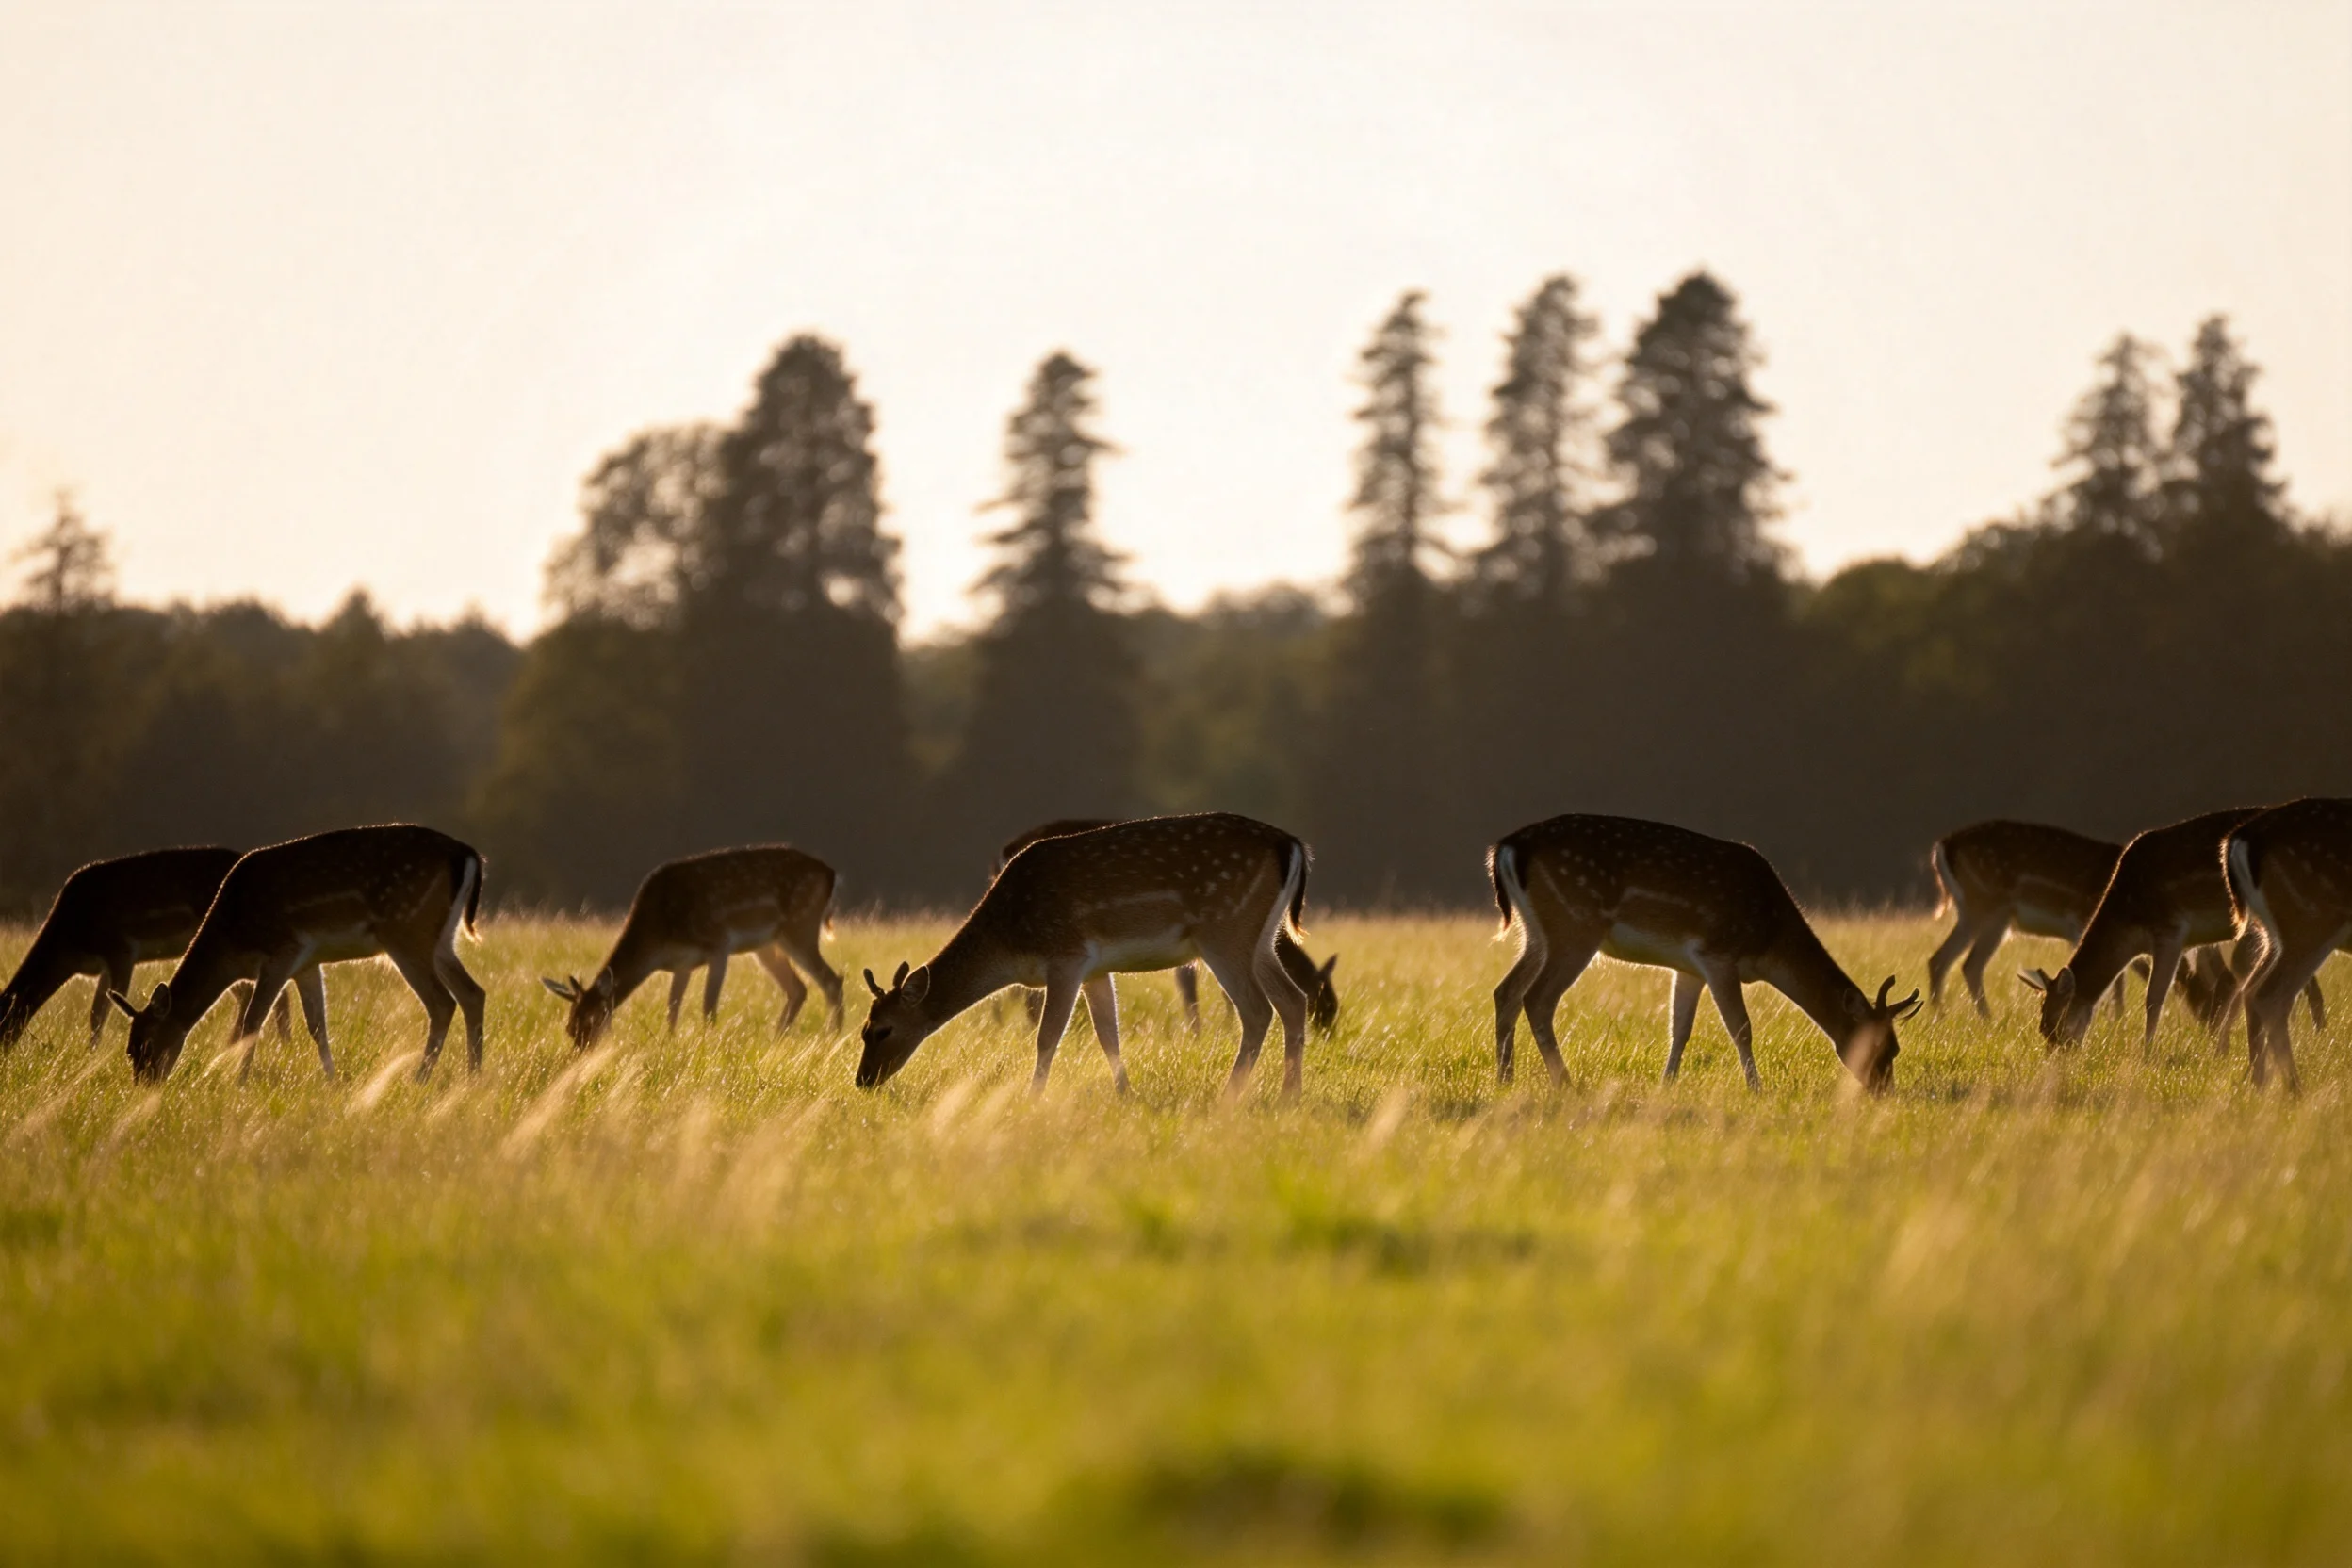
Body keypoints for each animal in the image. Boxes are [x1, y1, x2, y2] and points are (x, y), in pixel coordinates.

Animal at [1, 846, 319, 1051]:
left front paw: (91, 1055)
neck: (69, 943)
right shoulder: (105, 964)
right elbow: (98, 1009)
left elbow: (100, 1013)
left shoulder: (120, 948)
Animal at [108, 824, 485, 1084]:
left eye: (145, 1045)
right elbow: (318, 1025)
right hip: (441, 939)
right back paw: (473, 1078)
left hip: (405, 931)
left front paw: (239, 1084)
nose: (145, 1085)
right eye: (129, 1049)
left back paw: (419, 1079)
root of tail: (468, 855)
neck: (232, 939)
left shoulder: (283, 950)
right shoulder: (308, 963)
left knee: (442, 1001)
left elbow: (253, 1021)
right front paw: (332, 1082)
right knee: (473, 993)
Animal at [541, 845, 843, 1050]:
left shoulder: (719, 942)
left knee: (832, 980)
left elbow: (708, 1007)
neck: (658, 931)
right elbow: (672, 1011)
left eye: (593, 1021)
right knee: (799, 988)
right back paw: (777, 1039)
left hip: (800, 926)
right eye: (569, 1027)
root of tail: (831, 874)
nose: (582, 1056)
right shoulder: (680, 964)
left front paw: (707, 1048)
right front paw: (670, 1045)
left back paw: (833, 1039)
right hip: (768, 944)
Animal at [1489, 814, 1919, 1092]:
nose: (1884, 1091)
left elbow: (1680, 1028)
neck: (1770, 940)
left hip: (1537, 933)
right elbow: (1741, 1027)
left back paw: (1505, 1080)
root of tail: (1507, 847)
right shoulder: (1718, 953)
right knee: (1537, 998)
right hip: (1576, 926)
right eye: (1881, 1046)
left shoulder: (1689, 967)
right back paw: (1565, 1083)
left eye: (1895, 1047)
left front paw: (1666, 1084)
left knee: (1505, 990)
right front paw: (1756, 1089)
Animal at [2224, 798, 2351, 1091]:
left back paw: (2260, 1084)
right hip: (2311, 920)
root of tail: (2239, 838)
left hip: (2275, 932)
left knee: (2252, 990)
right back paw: (2294, 1088)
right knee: (2269, 995)